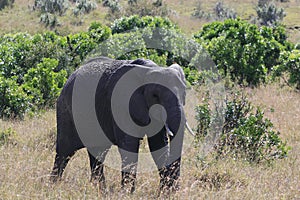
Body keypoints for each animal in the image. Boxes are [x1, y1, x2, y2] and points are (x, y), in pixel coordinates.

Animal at [50, 55, 193, 192]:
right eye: (155, 96)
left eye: (184, 93)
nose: (174, 189)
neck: (150, 69)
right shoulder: (120, 105)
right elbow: (129, 145)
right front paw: (127, 193)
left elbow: (158, 144)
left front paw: (166, 192)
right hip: (65, 110)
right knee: (64, 151)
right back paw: (53, 186)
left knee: (97, 153)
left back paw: (101, 190)